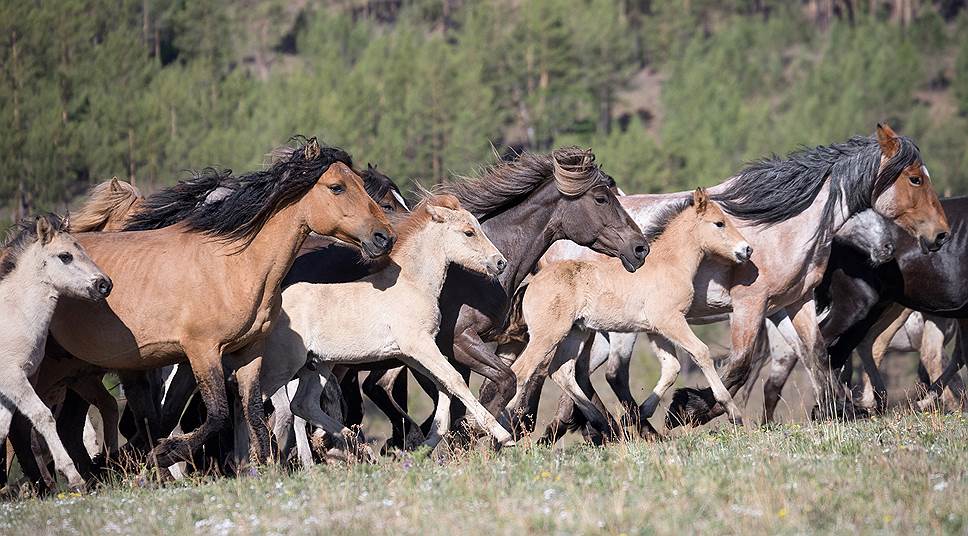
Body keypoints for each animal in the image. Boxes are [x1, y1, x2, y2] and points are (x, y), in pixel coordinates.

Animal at [0, 215, 113, 491]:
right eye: (65, 256)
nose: (104, 284)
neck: (14, 312)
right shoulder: (13, 378)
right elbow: (43, 416)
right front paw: (74, 477)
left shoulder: (11, 387)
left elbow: (1, 429)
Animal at [44, 139, 394, 472]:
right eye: (337, 187)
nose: (384, 237)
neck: (233, 264)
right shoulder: (202, 351)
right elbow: (217, 414)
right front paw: (164, 454)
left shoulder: (250, 352)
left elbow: (253, 411)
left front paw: (263, 467)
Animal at [251, 194, 512, 459]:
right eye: (469, 232)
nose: (500, 262)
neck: (412, 283)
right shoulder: (420, 346)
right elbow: (455, 380)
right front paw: (503, 435)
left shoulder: (410, 354)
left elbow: (444, 386)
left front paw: (426, 445)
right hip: (283, 365)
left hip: (319, 365)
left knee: (303, 404)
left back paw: (356, 446)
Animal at [506, 189, 751, 442]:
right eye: (719, 223)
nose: (746, 250)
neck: (670, 263)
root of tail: (531, 284)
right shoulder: (671, 321)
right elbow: (701, 352)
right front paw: (734, 413)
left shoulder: (657, 330)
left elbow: (671, 368)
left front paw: (638, 415)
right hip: (548, 335)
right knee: (521, 371)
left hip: (576, 333)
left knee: (561, 371)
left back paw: (602, 422)